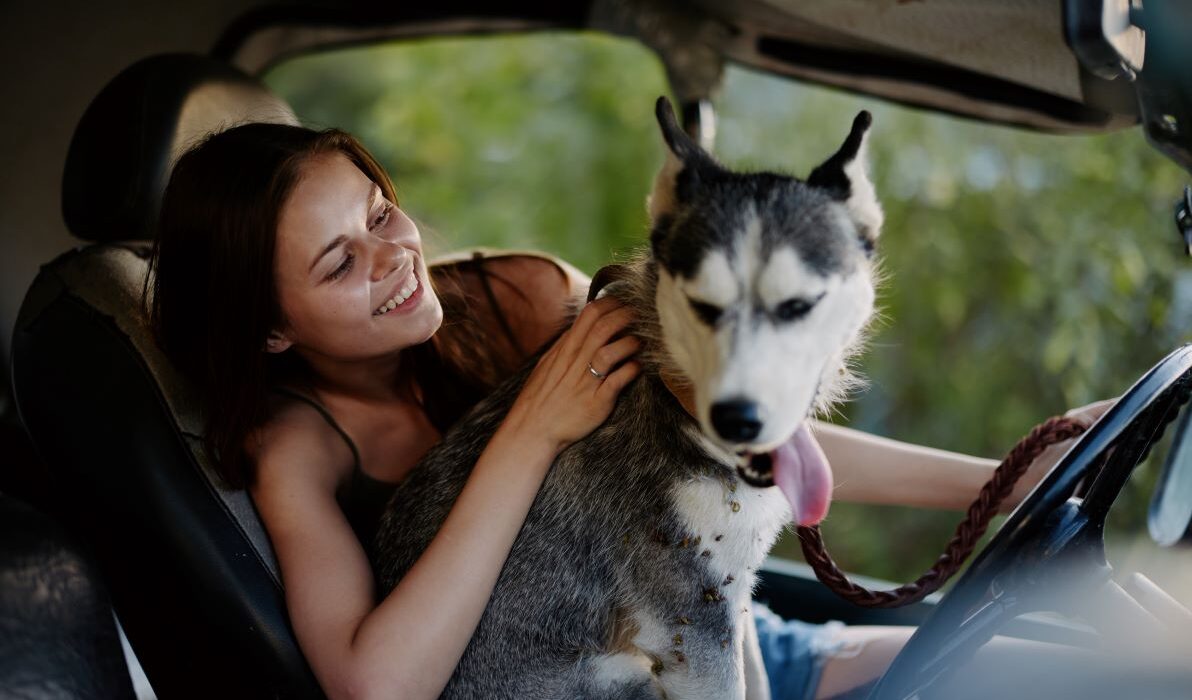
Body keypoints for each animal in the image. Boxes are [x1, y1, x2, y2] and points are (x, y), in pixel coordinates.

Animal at [374, 98, 886, 700]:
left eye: (799, 305)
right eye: (702, 304)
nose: (738, 418)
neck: (673, 398)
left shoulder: (731, 593)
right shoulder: (693, 623)